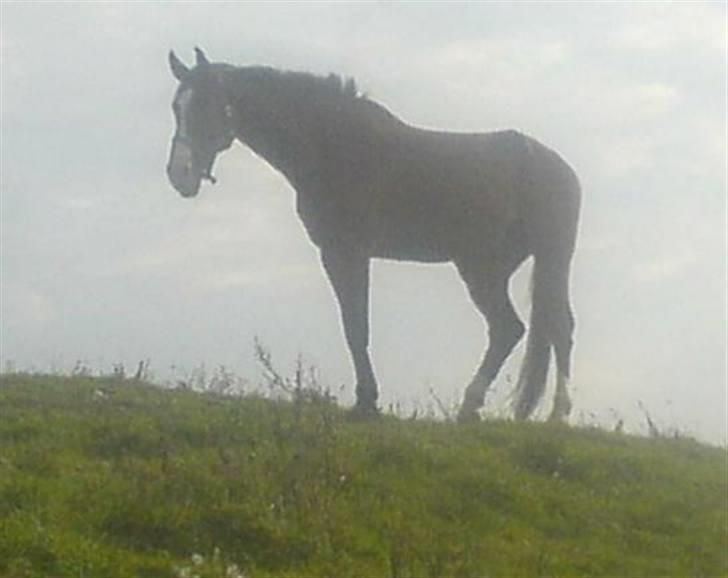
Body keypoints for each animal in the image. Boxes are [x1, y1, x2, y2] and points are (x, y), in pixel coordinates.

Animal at [165, 48, 580, 418]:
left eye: (207, 105)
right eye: (176, 107)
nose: (179, 174)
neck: (332, 146)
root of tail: (558, 168)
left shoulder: (346, 252)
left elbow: (356, 327)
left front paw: (366, 401)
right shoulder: (340, 254)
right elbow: (354, 326)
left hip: (514, 265)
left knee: (532, 328)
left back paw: (522, 410)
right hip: (497, 267)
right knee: (532, 328)